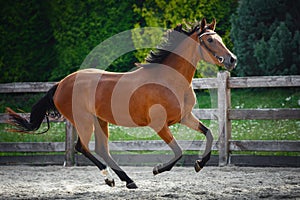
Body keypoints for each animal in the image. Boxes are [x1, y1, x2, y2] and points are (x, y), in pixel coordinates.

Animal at [5, 18, 237, 189]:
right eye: (210, 41)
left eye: (219, 38)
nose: (232, 60)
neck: (168, 80)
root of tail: (61, 84)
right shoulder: (158, 125)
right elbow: (178, 151)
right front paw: (157, 169)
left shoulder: (184, 117)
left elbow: (209, 133)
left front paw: (199, 164)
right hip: (83, 120)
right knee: (82, 147)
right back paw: (111, 179)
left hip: (100, 120)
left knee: (100, 149)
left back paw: (127, 180)